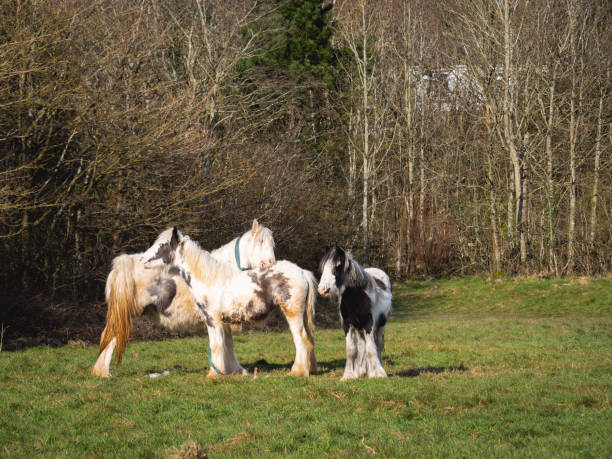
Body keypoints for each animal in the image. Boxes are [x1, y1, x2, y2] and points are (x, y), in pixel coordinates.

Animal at [91, 219, 274, 378]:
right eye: (260, 242)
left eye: (272, 244)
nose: (269, 264)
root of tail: (123, 265)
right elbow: (224, 344)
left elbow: (227, 344)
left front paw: (234, 369)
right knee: (110, 337)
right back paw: (105, 373)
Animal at [141, 229, 318, 378]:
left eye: (162, 245)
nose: (142, 259)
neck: (208, 279)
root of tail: (302, 272)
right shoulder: (223, 322)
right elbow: (226, 346)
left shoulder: (212, 320)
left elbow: (216, 345)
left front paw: (214, 374)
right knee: (309, 340)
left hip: (292, 312)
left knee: (301, 339)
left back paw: (297, 372)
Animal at [316, 248, 392, 380]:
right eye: (324, 266)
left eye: (338, 266)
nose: (322, 289)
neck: (357, 298)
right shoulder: (348, 326)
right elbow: (351, 350)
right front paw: (349, 375)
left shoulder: (369, 325)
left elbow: (372, 349)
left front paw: (377, 374)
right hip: (359, 330)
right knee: (362, 346)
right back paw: (361, 371)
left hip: (381, 326)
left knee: (378, 346)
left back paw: (378, 369)